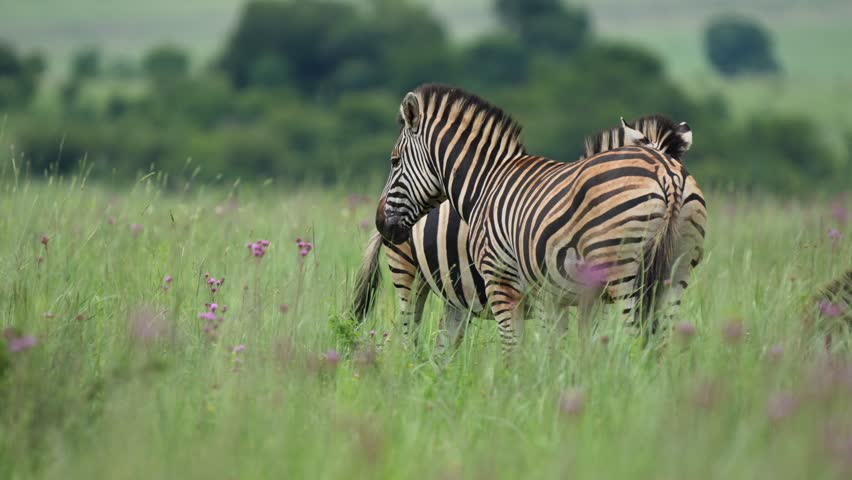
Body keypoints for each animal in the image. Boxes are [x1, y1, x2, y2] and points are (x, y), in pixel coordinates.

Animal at [373, 84, 706, 352]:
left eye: (394, 160)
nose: (380, 222)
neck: (487, 182)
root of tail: (666, 173)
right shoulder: (561, 297)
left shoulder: (503, 282)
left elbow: (518, 352)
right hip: (675, 271)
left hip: (623, 272)